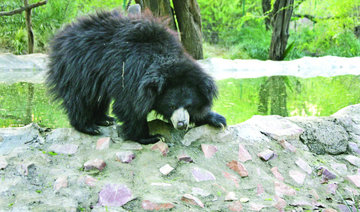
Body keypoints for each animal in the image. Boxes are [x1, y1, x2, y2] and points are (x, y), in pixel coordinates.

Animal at [45, 9, 225, 144]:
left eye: (189, 105)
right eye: (171, 106)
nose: (181, 124)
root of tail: (63, 33)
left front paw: (216, 119)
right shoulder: (131, 72)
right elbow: (130, 105)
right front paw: (149, 137)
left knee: (98, 97)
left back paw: (104, 119)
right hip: (79, 67)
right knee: (81, 96)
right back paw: (88, 126)